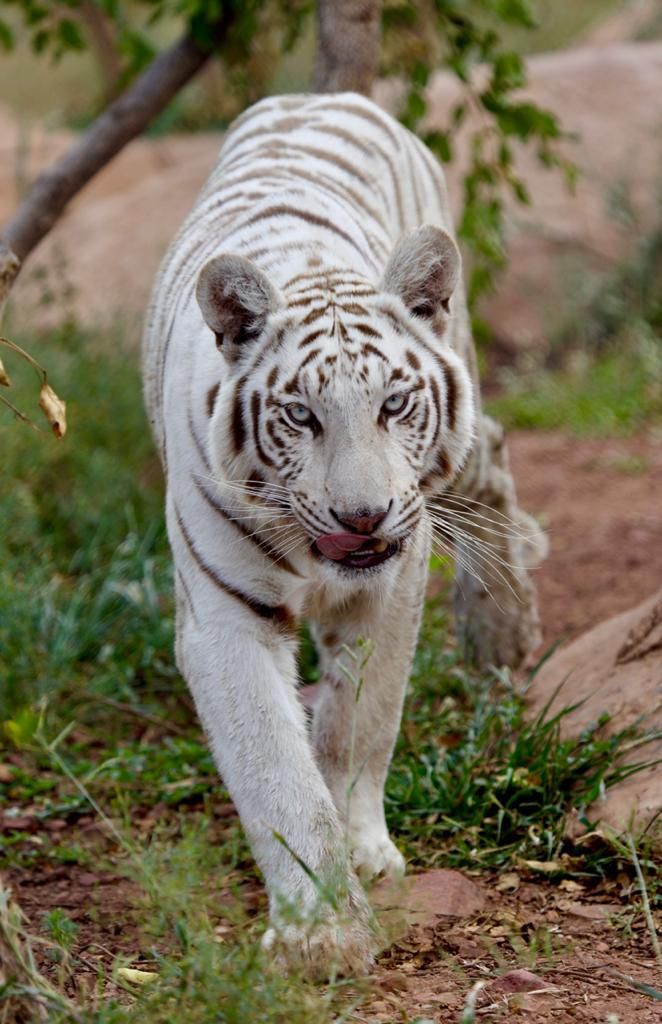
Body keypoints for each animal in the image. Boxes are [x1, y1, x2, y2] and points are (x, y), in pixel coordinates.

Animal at [142, 94, 541, 974]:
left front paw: (361, 853)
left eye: (393, 402)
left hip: (459, 434)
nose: (363, 516)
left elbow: (362, 724)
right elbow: (277, 773)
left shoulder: (393, 583)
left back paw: (502, 632)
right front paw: (319, 932)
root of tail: (317, 96)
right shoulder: (224, 619)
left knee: (492, 449)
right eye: (301, 415)